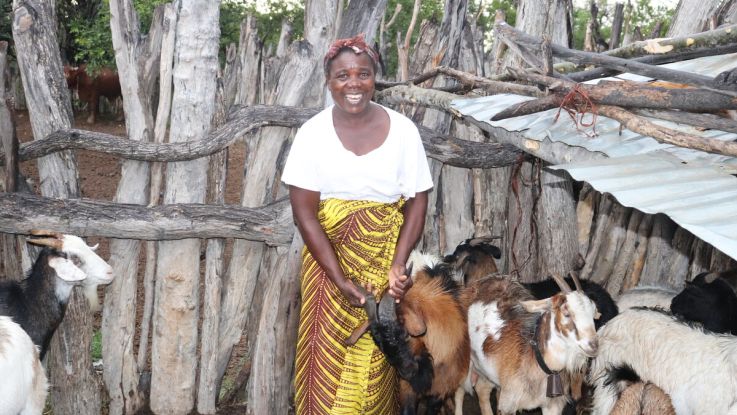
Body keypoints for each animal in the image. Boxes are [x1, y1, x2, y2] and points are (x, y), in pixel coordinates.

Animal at [464, 273, 598, 415]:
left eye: (594, 315)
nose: (593, 345)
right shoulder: (508, 402)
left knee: (482, 388)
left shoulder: (553, 405)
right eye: (566, 313)